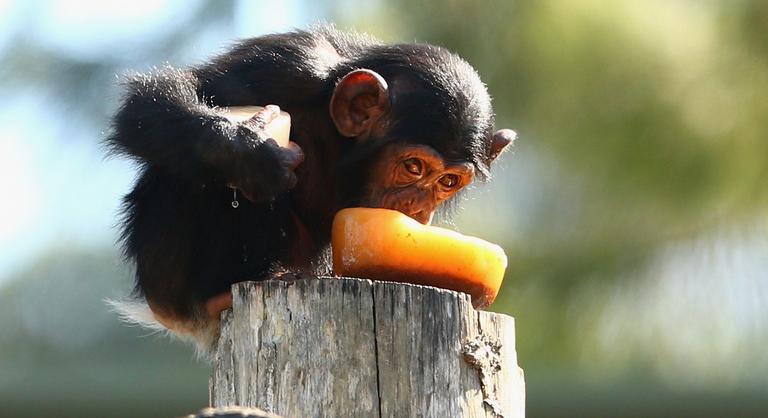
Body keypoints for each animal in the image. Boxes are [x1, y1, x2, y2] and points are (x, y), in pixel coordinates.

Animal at [106, 25, 516, 352]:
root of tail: (172, 316)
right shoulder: (286, 66)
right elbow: (152, 104)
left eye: (447, 181)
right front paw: (249, 153)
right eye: (413, 166)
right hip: (171, 277)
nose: (416, 208)